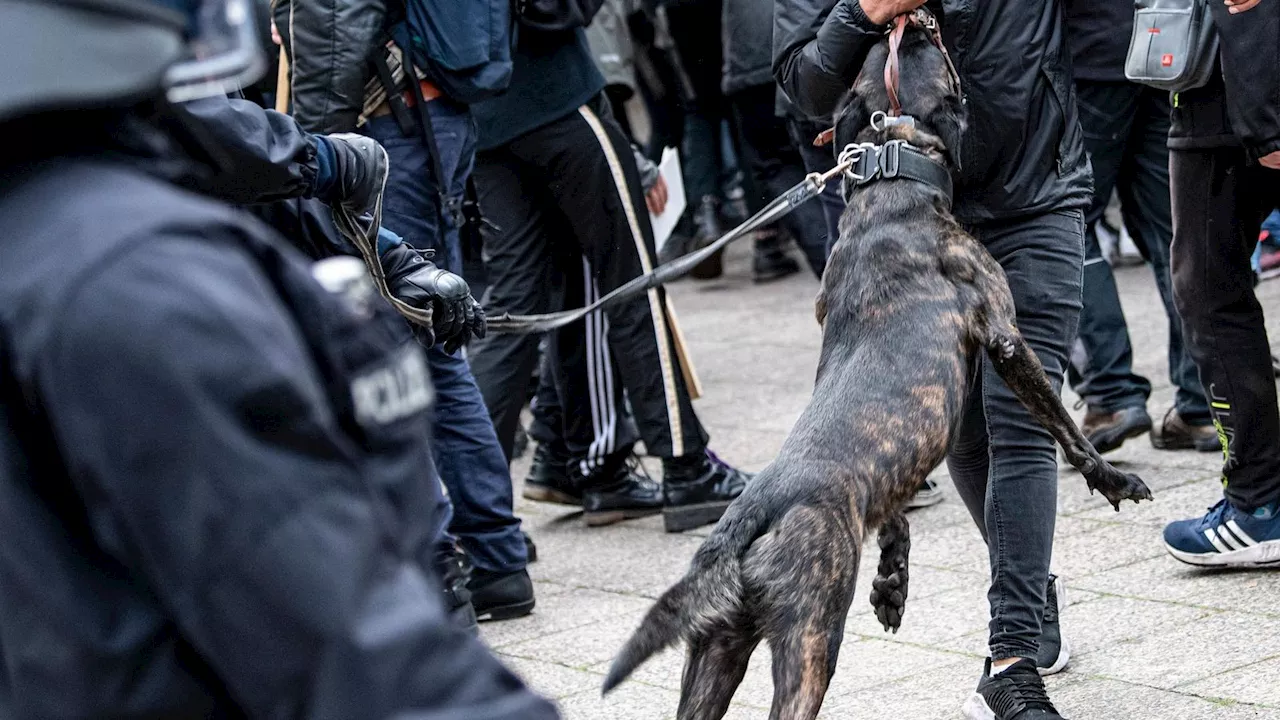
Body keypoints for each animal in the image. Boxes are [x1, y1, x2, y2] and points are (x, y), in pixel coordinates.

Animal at [604, 15, 1157, 717]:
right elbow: (1065, 427)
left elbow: (899, 508)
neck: (892, 175)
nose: (909, 18)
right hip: (811, 635)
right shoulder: (1005, 337)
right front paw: (1113, 479)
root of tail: (747, 523)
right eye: (939, 56)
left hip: (714, 655)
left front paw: (893, 580)